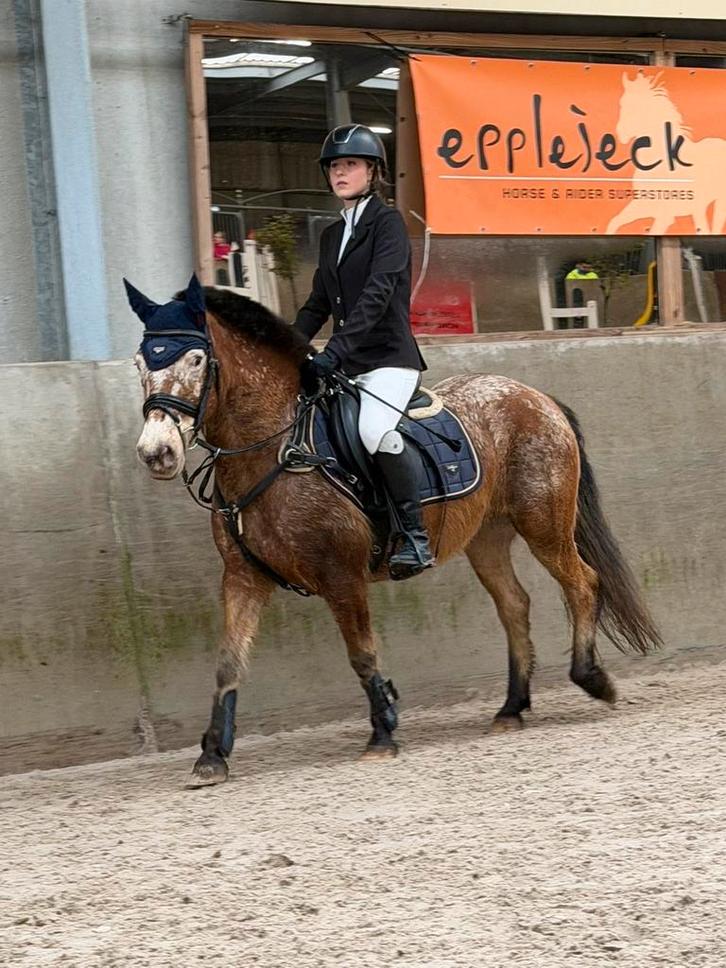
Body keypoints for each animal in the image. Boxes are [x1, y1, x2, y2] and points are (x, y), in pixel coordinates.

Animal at [128, 276, 661, 785]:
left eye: (197, 358)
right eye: (139, 363)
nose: (157, 453)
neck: (274, 446)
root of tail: (535, 396)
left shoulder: (341, 575)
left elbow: (362, 653)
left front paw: (383, 732)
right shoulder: (243, 576)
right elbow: (228, 663)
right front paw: (212, 756)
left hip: (543, 524)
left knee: (582, 582)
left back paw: (592, 678)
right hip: (486, 539)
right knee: (515, 605)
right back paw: (511, 708)